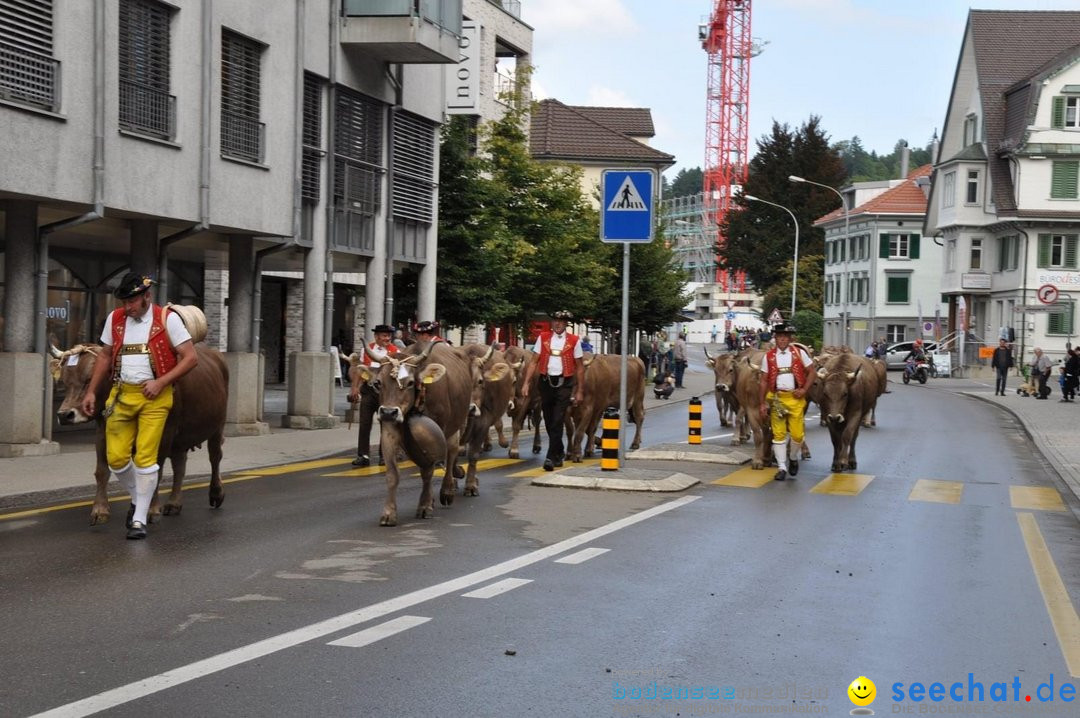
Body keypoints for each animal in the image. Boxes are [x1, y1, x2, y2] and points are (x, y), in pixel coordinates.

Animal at [354, 339, 473, 524]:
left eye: (410, 382)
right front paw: (389, 513)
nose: (388, 412)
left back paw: (447, 490)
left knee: (452, 453)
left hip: (454, 426)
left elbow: (428, 471)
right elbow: (392, 474)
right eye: (379, 382)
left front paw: (425, 506)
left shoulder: (437, 433)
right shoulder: (389, 431)